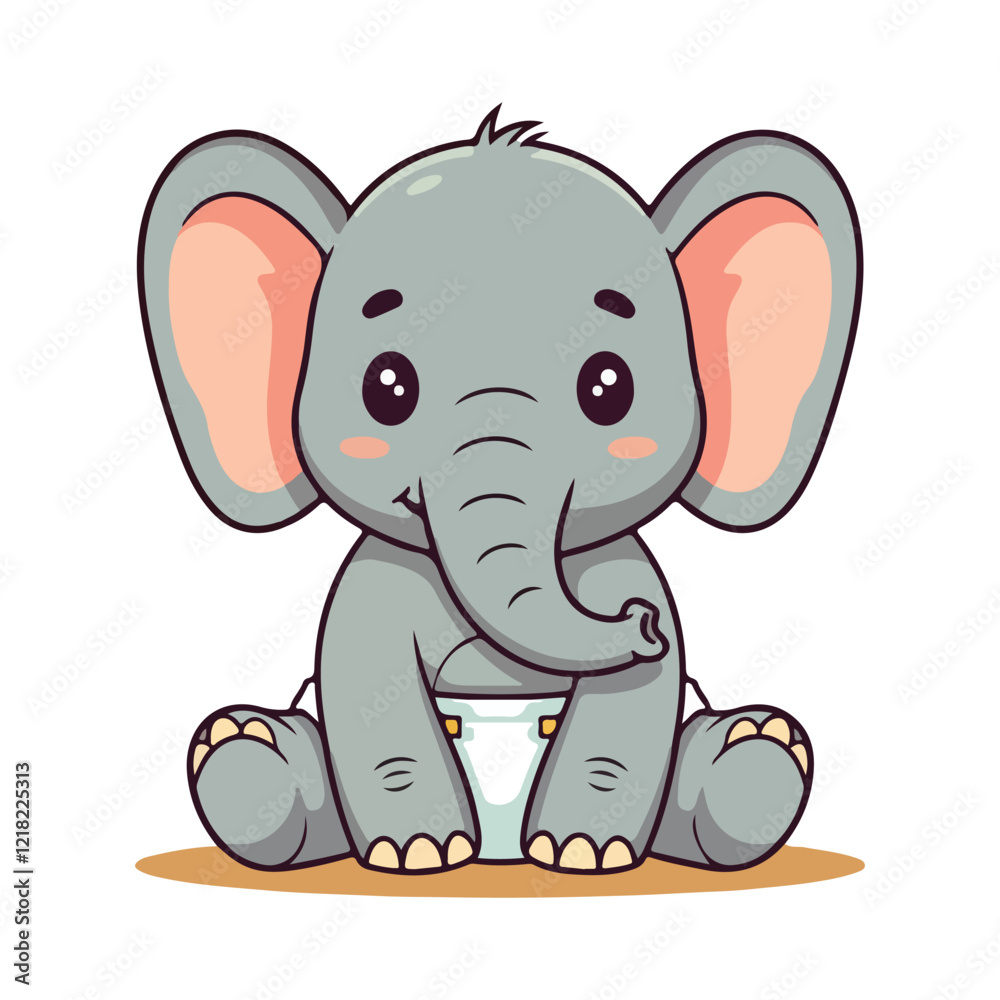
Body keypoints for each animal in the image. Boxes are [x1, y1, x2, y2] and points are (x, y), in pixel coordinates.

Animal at [138, 108, 860, 875]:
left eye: (609, 387)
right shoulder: (371, 592)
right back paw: (244, 749)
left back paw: (757, 750)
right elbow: (369, 694)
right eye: (385, 387)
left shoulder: (623, 568)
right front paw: (417, 853)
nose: (641, 624)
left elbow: (632, 708)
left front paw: (583, 854)